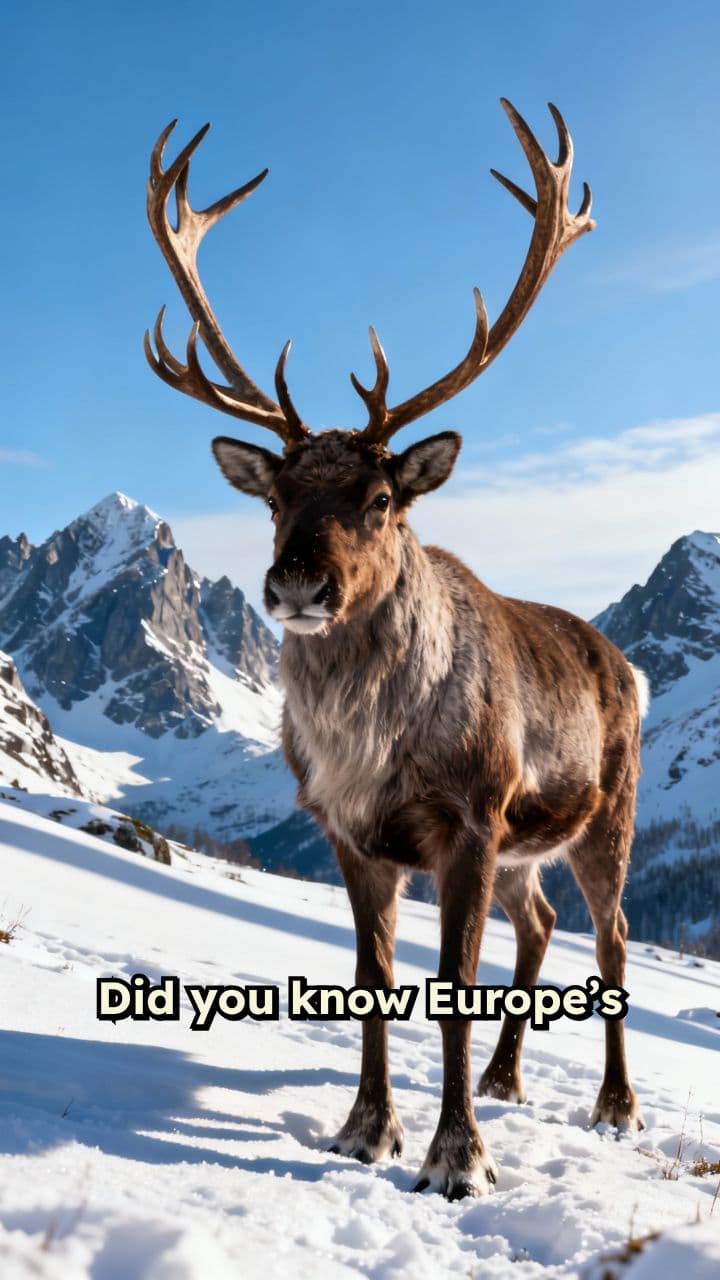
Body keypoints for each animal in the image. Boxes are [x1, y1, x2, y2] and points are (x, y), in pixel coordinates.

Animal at [145, 100, 648, 1200]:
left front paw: (457, 1156)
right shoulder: (349, 831)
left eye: (379, 498)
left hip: (606, 815)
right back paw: (505, 1078)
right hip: (528, 845)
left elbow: (450, 983)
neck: (369, 749)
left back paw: (614, 1104)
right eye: (276, 495)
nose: (296, 584)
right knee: (541, 923)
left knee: (614, 939)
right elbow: (372, 979)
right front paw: (366, 1128)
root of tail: (626, 661)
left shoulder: (470, 815)